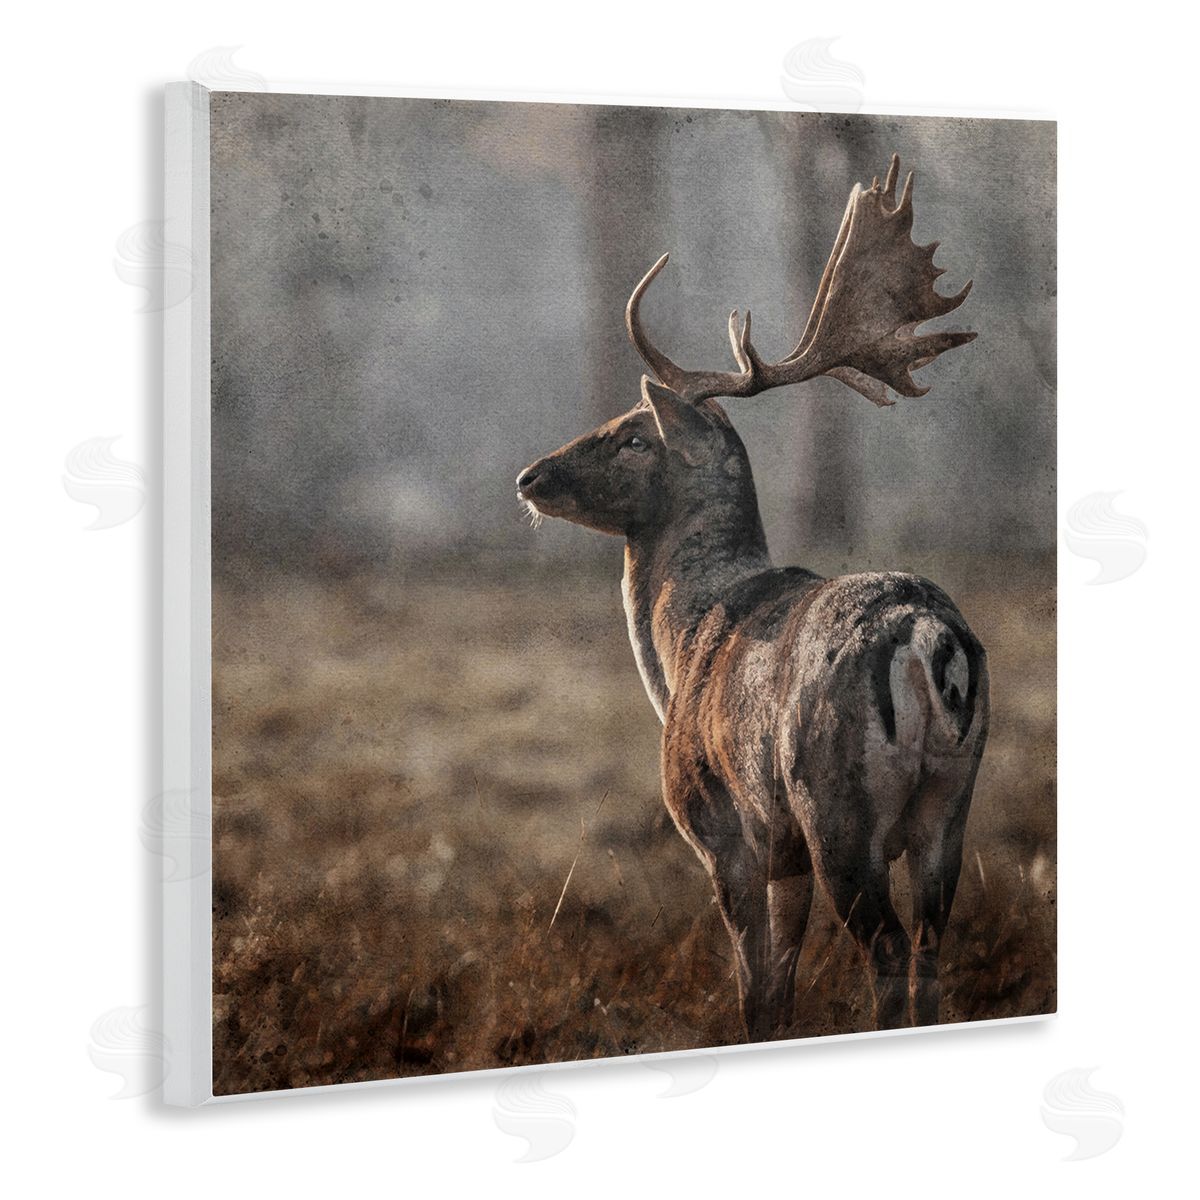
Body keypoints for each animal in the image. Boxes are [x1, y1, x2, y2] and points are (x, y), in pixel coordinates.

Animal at [516, 155, 989, 1039]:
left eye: (634, 434)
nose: (530, 476)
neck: (681, 646)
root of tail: (926, 636)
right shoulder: (785, 856)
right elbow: (783, 988)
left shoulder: (726, 830)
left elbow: (754, 993)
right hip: (951, 802)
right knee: (932, 946)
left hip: (837, 805)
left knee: (887, 948)